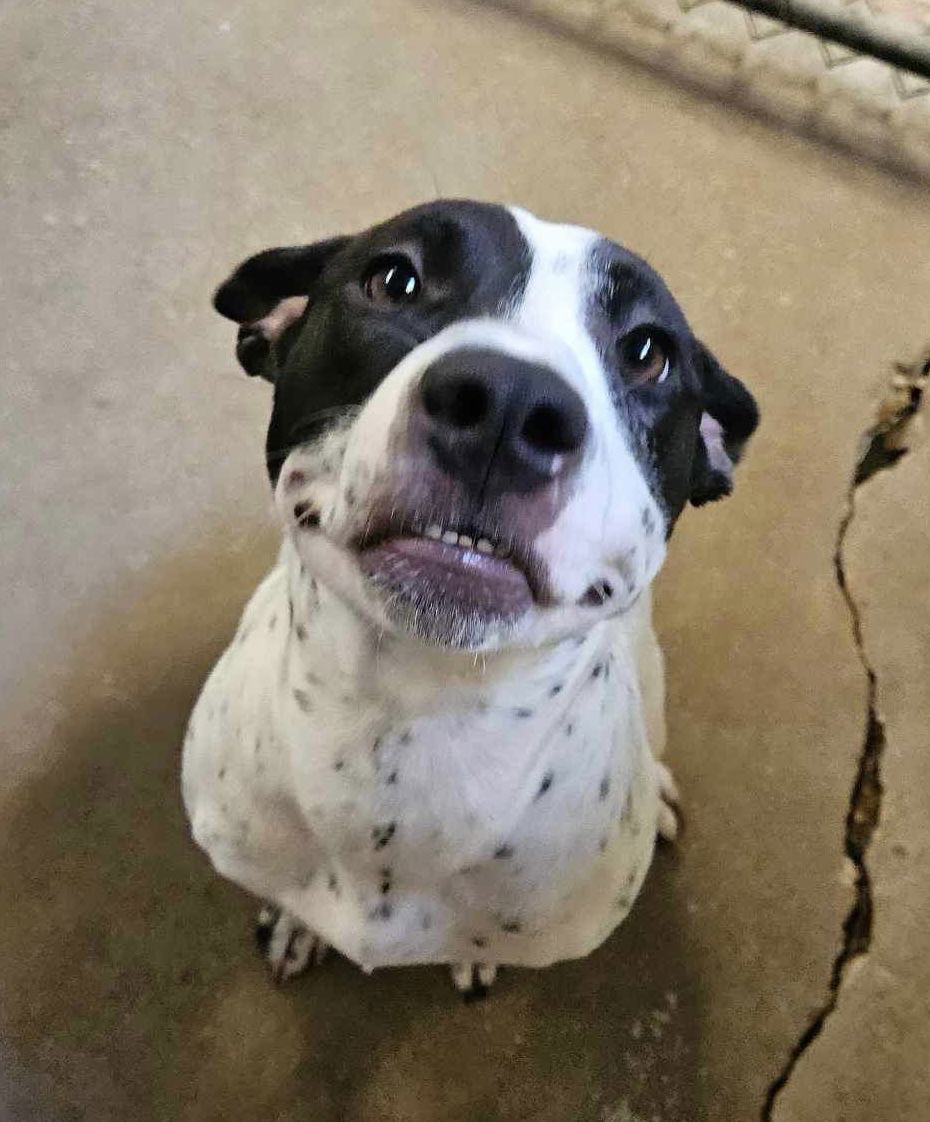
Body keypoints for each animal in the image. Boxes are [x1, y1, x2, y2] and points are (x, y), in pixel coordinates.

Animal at [179, 197, 753, 996]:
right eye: (394, 279)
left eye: (647, 352)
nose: (509, 405)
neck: (411, 717)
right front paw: (298, 923)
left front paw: (472, 956)